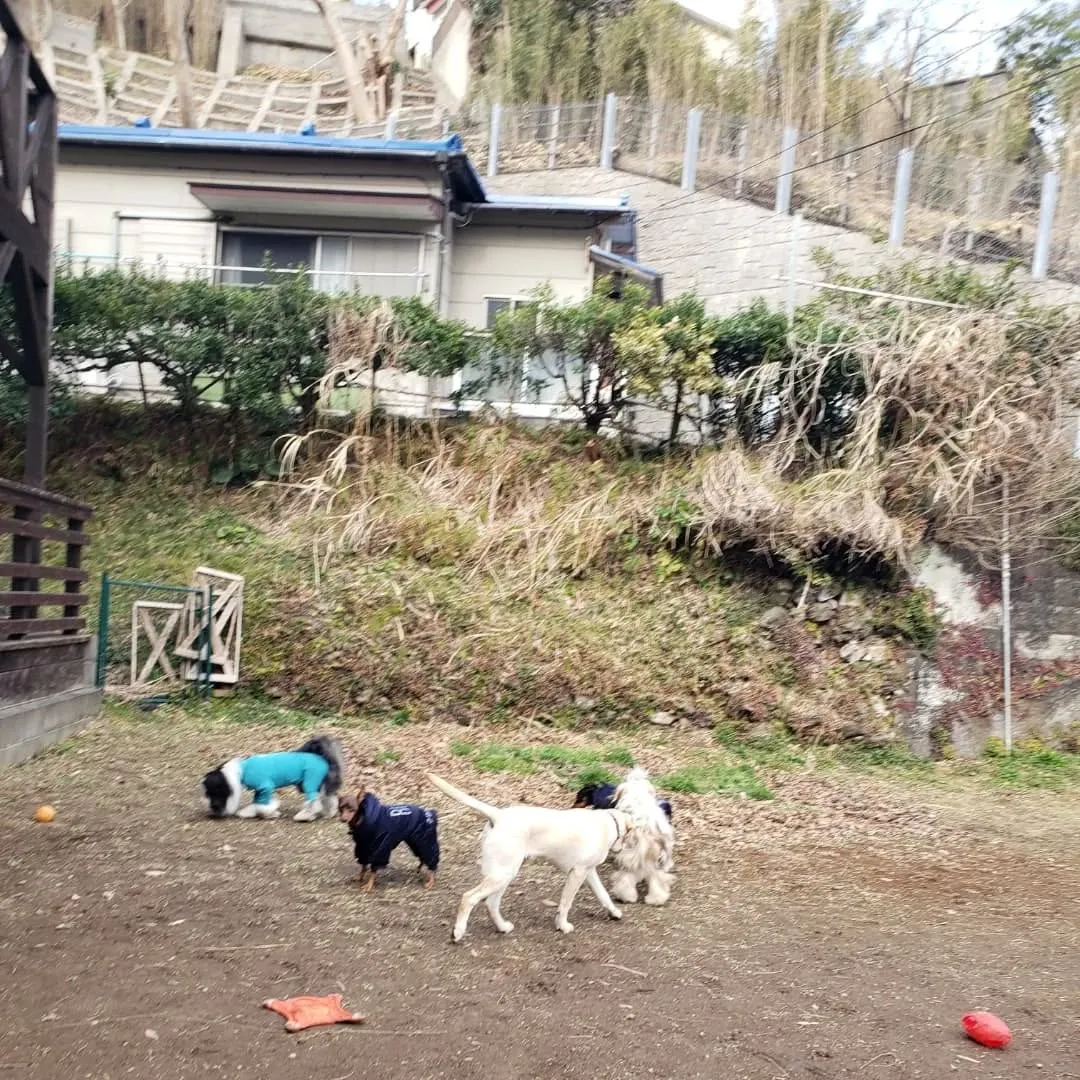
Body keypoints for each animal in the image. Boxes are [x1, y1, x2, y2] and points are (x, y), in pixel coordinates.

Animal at [198, 738, 341, 820]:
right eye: (208, 794)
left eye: (213, 794)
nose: (213, 810)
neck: (241, 771)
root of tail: (321, 757)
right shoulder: (259, 790)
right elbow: (257, 802)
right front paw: (250, 812)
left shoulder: (265, 787)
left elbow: (262, 805)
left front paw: (269, 813)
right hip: (319, 783)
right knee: (329, 798)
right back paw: (329, 813)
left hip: (310, 781)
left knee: (314, 802)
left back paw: (305, 815)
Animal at [609, 764, 673, 907]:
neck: (637, 794)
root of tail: (646, 832)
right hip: (657, 857)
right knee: (657, 878)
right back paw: (656, 899)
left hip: (629, 857)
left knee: (626, 878)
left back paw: (626, 896)